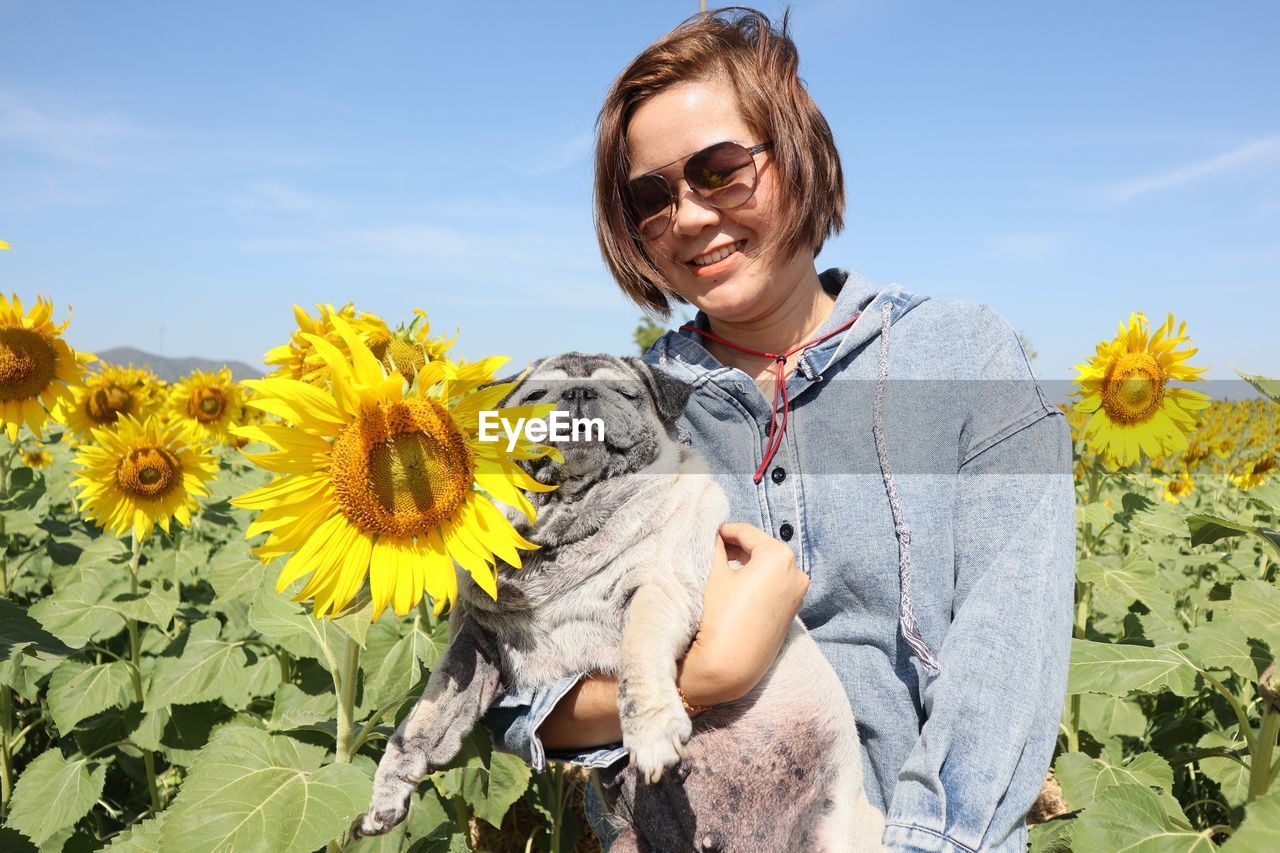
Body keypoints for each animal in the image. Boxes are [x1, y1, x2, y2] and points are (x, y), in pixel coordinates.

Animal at [355, 348, 885, 845]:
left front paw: (650, 732)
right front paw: (389, 790)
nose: (580, 393)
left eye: (626, 394)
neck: (563, 531)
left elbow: (638, 655)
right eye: (535, 395)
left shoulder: (658, 591)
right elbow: (425, 720)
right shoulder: (474, 643)